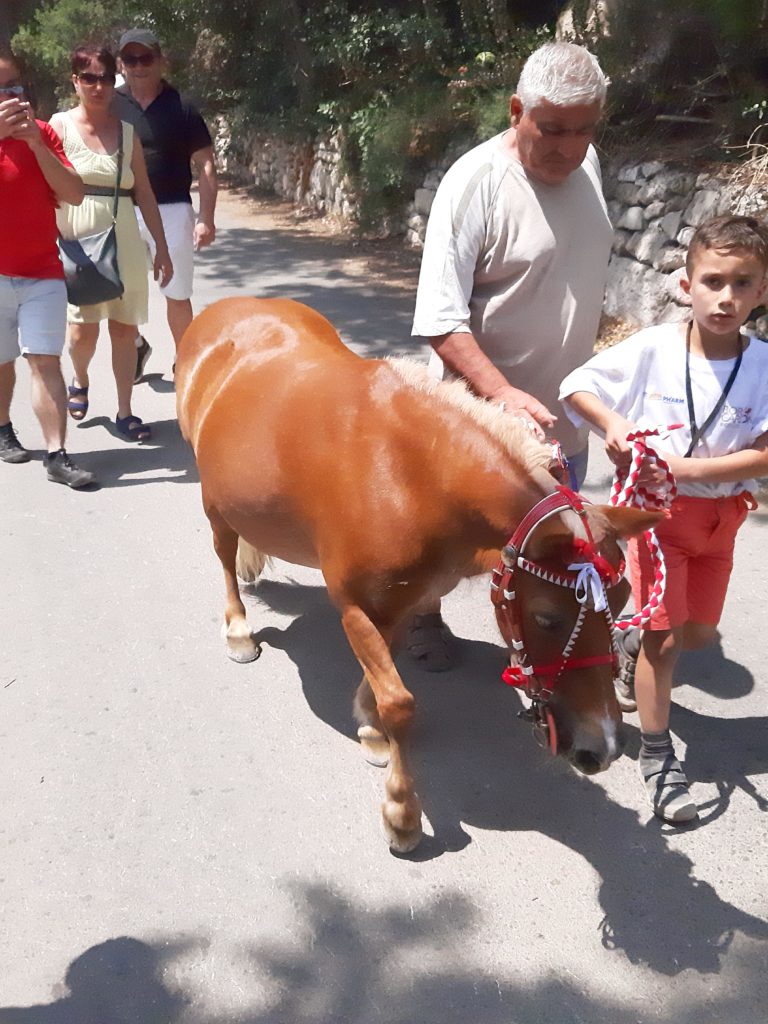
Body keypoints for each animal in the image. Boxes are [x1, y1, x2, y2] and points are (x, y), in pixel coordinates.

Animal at [177, 299, 663, 856]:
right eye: (546, 618)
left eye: (622, 604)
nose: (602, 746)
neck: (411, 475)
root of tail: (227, 310)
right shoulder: (355, 607)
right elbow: (400, 704)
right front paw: (402, 811)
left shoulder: (405, 600)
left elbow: (383, 680)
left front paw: (369, 724)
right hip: (214, 498)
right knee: (224, 553)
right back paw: (237, 629)